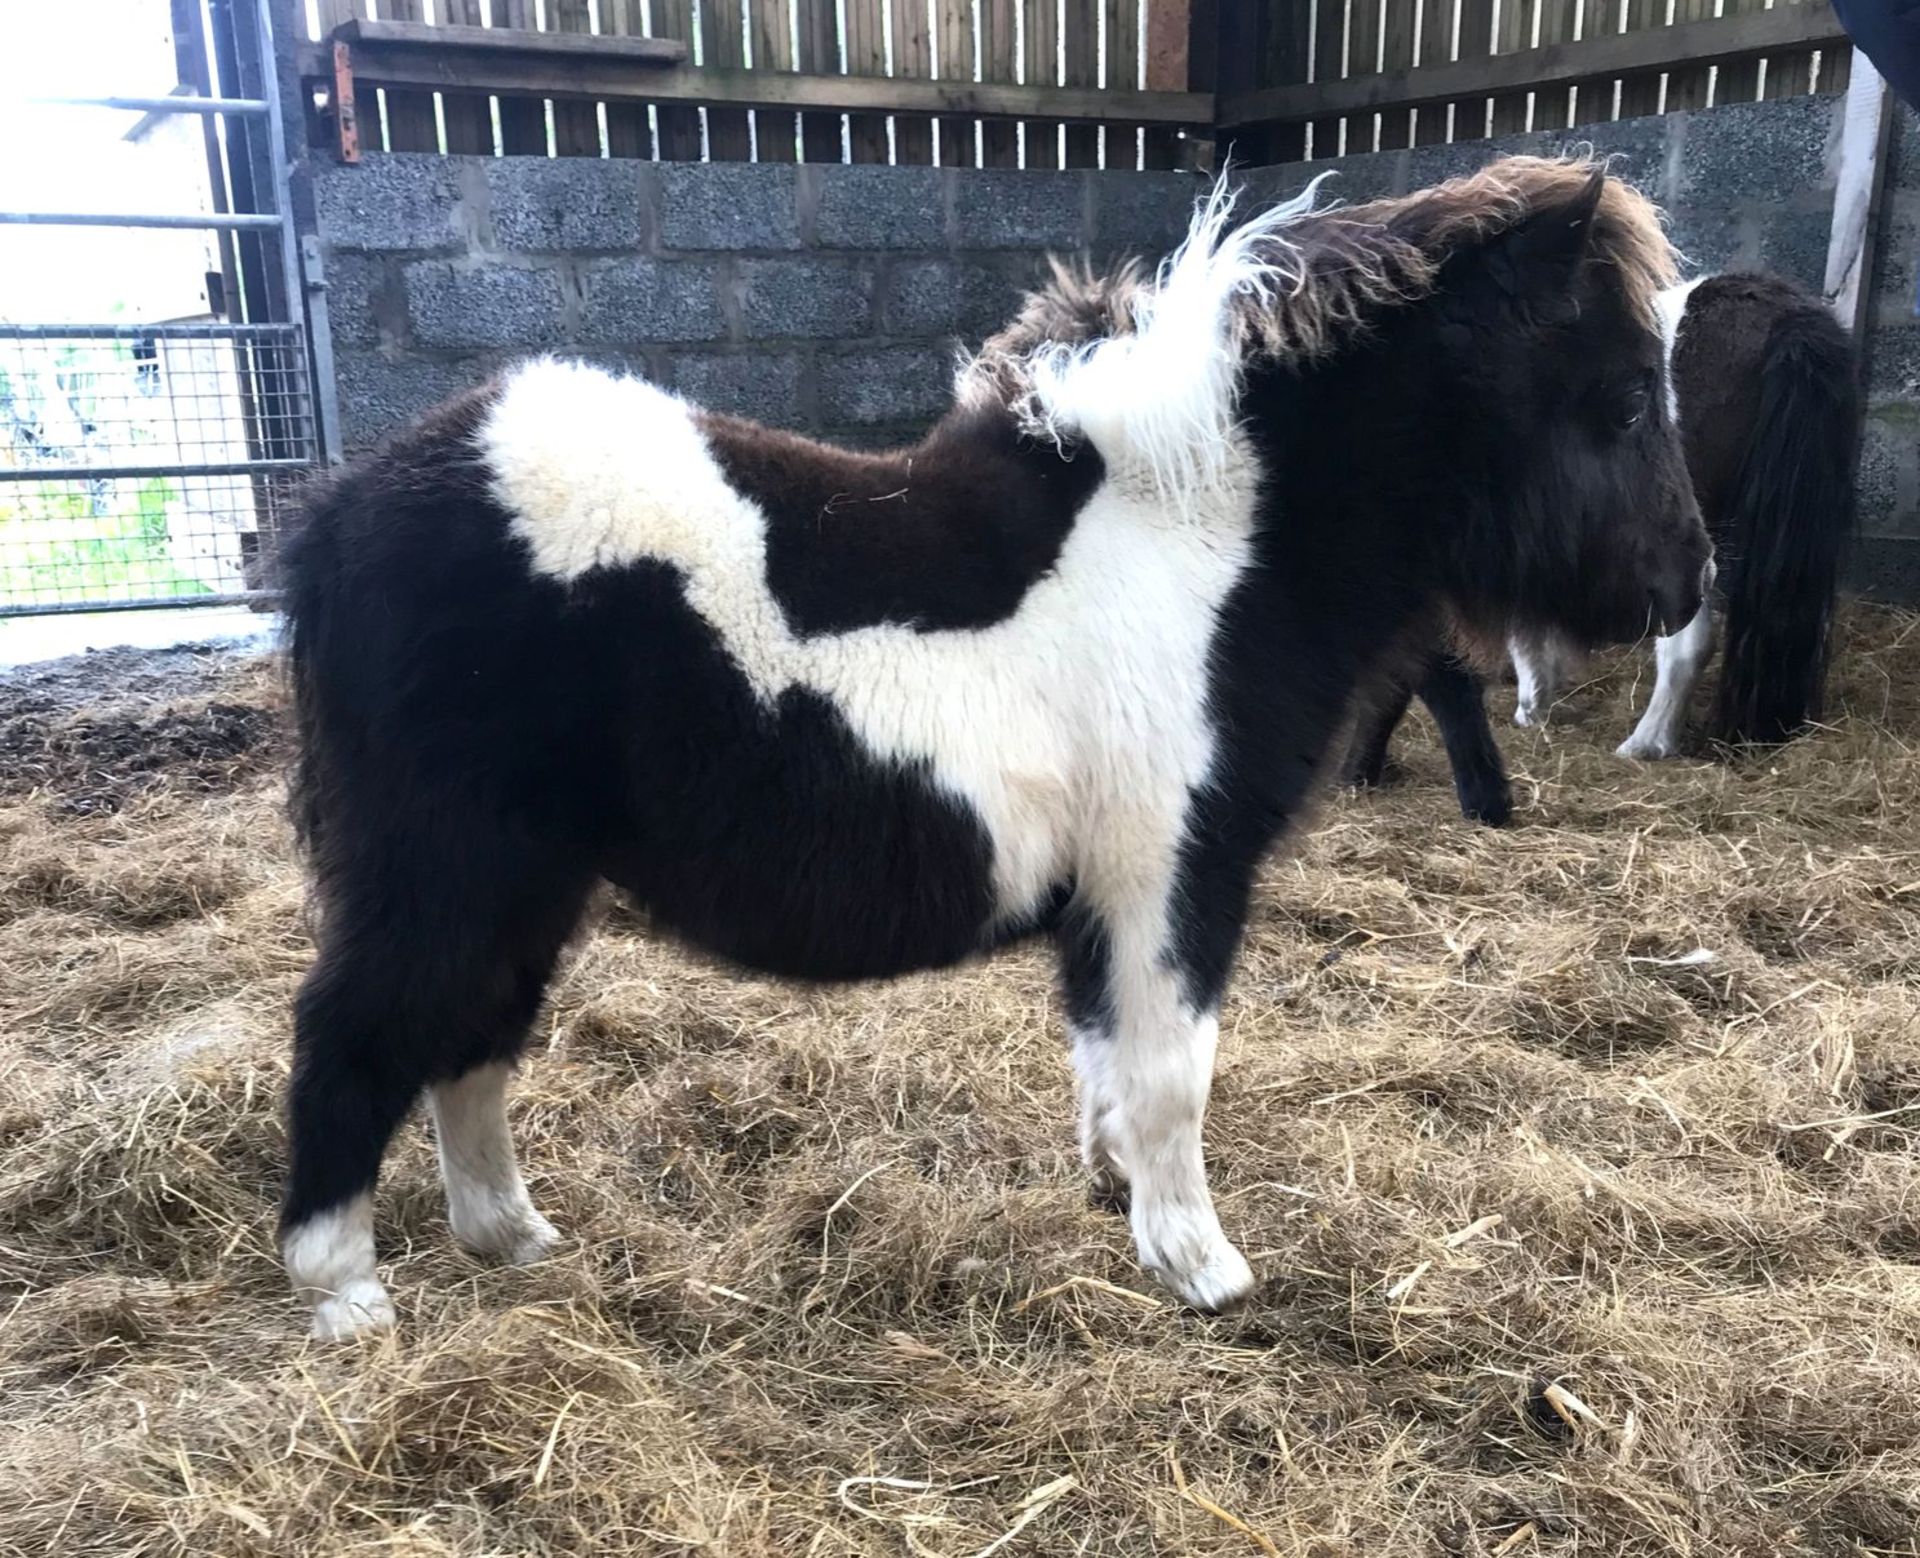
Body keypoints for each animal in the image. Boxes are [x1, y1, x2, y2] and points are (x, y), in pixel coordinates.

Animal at [278, 161, 1704, 1337]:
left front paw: (1120, 1200)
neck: (1201, 544)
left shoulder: (1108, 897)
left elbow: (1105, 1063)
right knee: (358, 1032)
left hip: (525, 880)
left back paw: (510, 1235)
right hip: (446, 867)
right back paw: (344, 1292)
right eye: (1631, 400)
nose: (1684, 581)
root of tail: (343, 508)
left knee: (472, 1035)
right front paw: (1203, 1267)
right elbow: (1173, 1073)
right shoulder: (1172, 876)